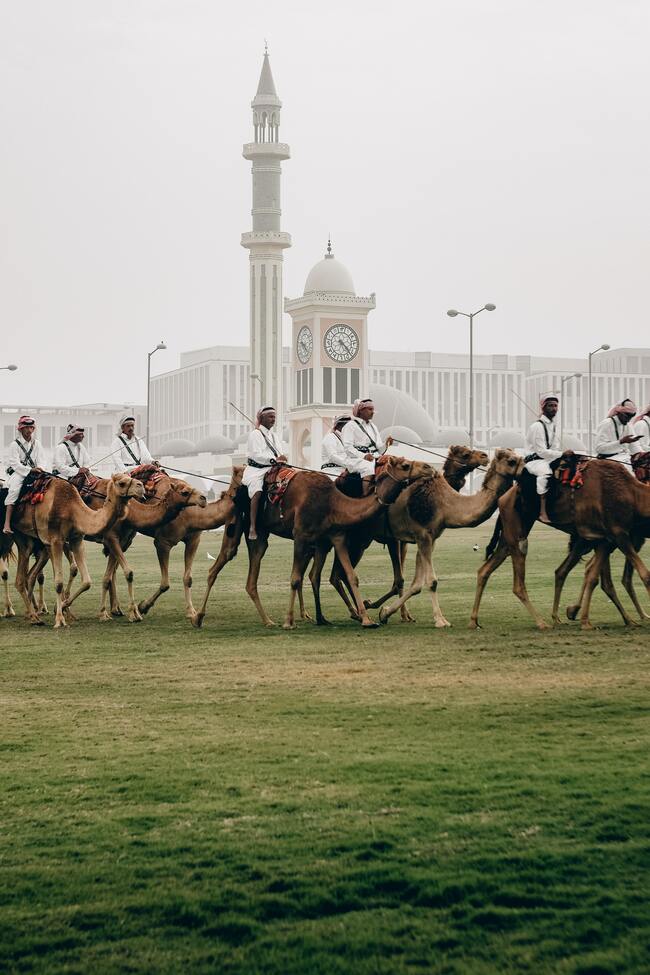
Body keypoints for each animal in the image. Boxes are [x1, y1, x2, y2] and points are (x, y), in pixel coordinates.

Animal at [0, 474, 144, 628]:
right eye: (122, 483)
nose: (141, 486)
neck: (72, 509)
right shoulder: (56, 539)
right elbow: (58, 582)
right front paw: (59, 619)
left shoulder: (76, 539)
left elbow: (87, 581)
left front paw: (63, 607)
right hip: (19, 537)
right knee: (20, 577)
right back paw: (27, 614)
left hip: (31, 540)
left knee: (26, 576)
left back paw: (33, 617)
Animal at [192, 458, 436, 632]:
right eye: (405, 465)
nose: (430, 468)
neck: (332, 502)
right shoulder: (302, 536)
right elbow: (295, 579)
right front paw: (289, 621)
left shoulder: (335, 537)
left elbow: (349, 576)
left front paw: (367, 618)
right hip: (237, 524)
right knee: (218, 565)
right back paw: (199, 617)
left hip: (261, 536)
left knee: (252, 578)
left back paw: (269, 620)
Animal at [468, 460, 648, 632]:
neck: (632, 494)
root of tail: (503, 498)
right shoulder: (617, 533)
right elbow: (643, 574)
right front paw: (583, 619)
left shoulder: (604, 539)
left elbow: (594, 577)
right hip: (516, 529)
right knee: (519, 579)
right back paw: (542, 623)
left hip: (511, 533)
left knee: (485, 570)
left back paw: (474, 621)